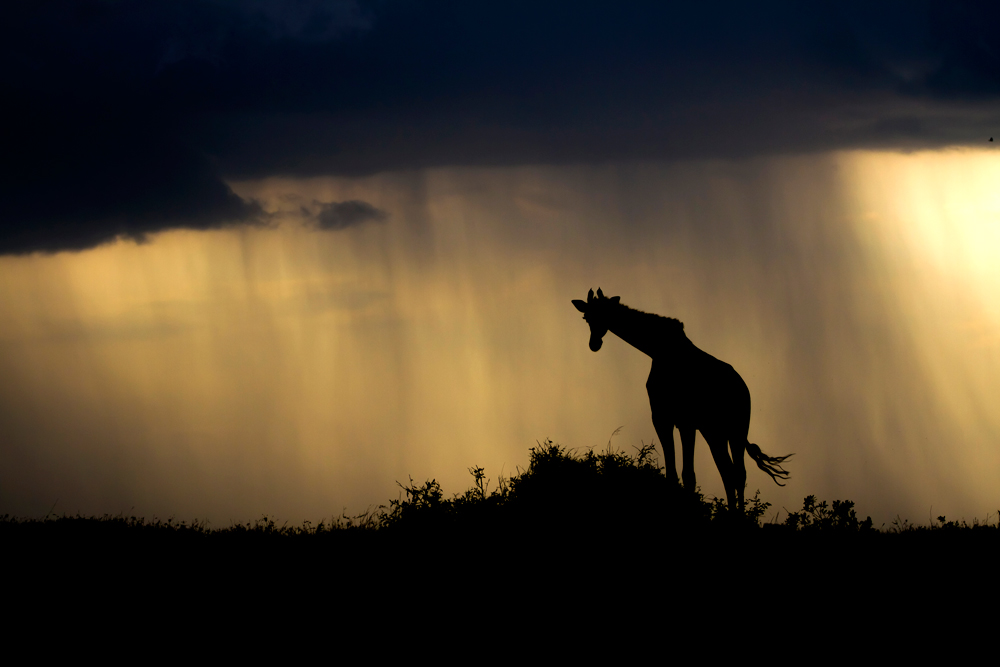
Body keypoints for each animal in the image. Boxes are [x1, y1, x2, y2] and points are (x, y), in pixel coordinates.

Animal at [576, 288, 792, 512]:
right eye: (586, 317)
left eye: (605, 315)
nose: (594, 344)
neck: (658, 350)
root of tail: (744, 389)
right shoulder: (662, 417)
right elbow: (672, 474)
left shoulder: (686, 421)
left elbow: (688, 475)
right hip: (715, 432)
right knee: (727, 471)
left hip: (738, 429)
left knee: (738, 473)